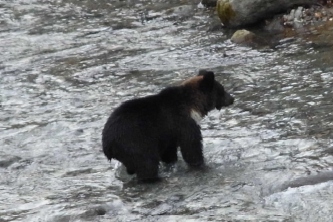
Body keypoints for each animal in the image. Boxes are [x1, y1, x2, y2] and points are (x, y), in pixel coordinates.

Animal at [101, 70, 233, 183]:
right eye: (222, 90)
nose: (232, 98)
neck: (192, 106)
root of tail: (107, 144)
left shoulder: (168, 134)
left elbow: (169, 152)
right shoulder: (182, 122)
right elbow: (191, 147)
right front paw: (201, 164)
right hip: (134, 142)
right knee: (147, 164)